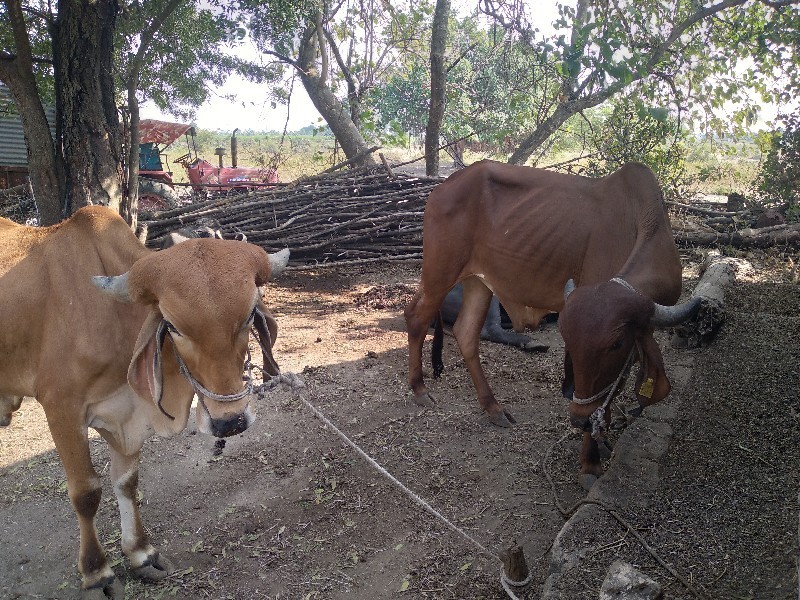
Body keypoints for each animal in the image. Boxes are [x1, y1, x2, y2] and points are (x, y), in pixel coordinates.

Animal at [0, 206, 288, 596]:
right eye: (174, 326)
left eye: (246, 317)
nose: (230, 421)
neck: (113, 317)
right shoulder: (61, 408)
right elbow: (85, 492)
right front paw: (97, 573)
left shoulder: (126, 415)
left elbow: (126, 480)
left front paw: (140, 554)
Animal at [406, 159, 700, 488]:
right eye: (568, 339)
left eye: (617, 343)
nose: (579, 420)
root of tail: (443, 187)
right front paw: (590, 463)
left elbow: (614, 386)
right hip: (440, 270)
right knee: (416, 318)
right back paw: (419, 389)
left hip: (478, 281)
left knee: (466, 333)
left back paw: (493, 407)